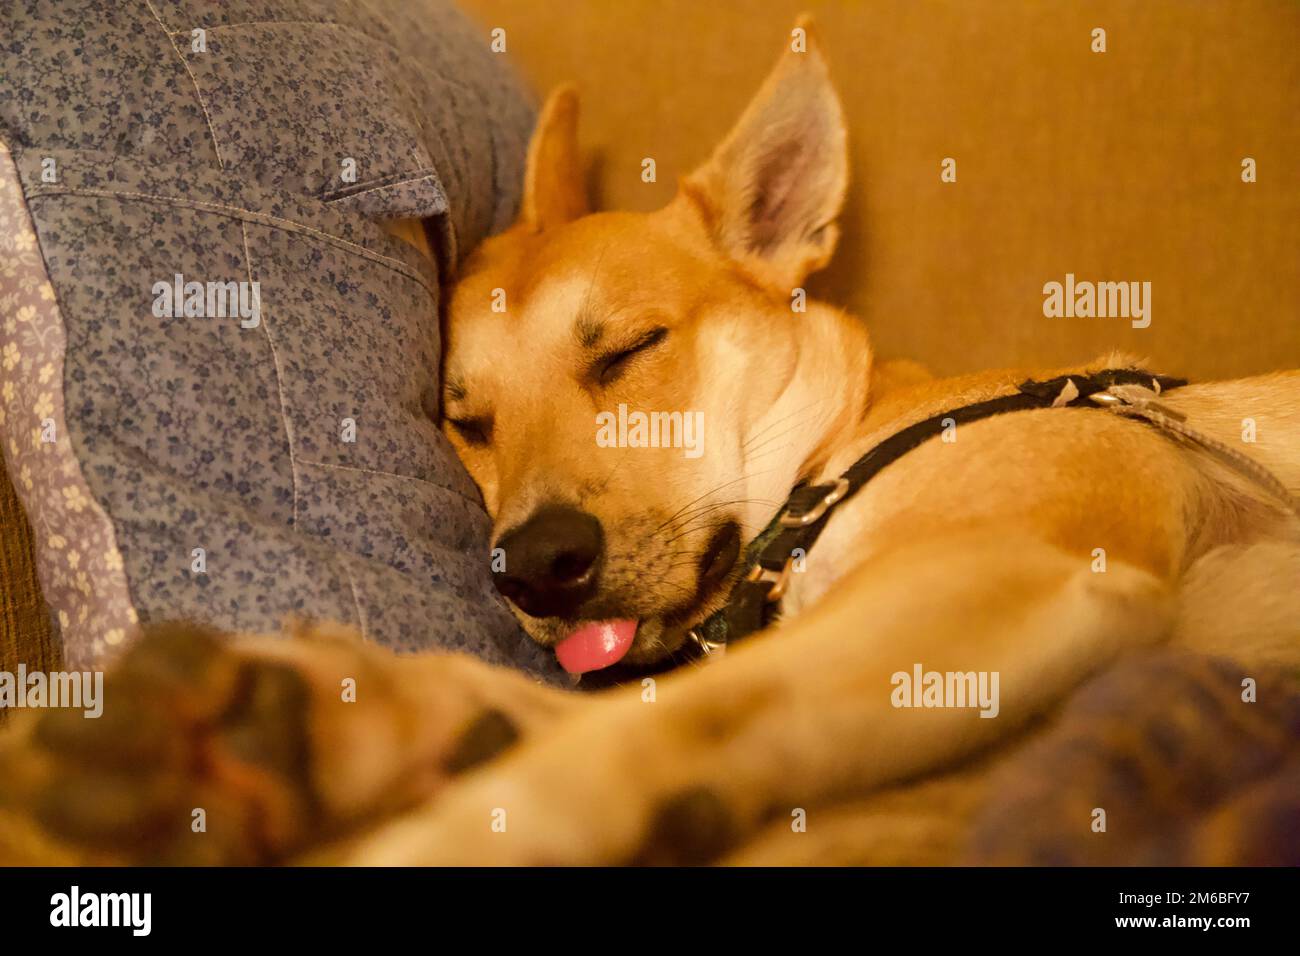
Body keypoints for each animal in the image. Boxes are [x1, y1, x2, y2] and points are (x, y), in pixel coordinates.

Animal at [2, 16, 1300, 868]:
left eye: (626, 349)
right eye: (466, 421)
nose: (535, 568)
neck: (836, 458)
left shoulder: (1004, 566)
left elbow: (663, 722)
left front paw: (451, 825)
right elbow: (584, 712)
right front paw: (336, 731)